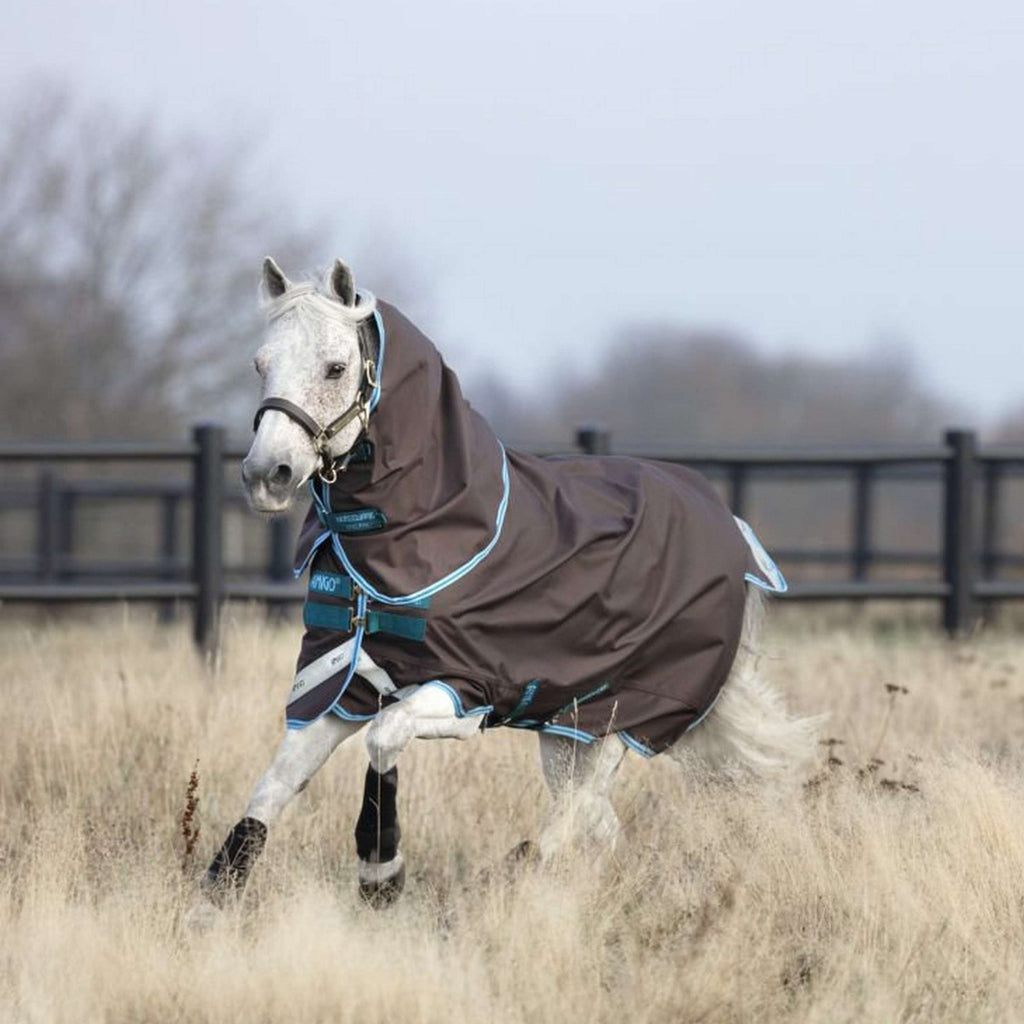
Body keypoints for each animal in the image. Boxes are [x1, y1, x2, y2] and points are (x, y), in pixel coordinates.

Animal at [202, 256, 817, 907]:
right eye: (260, 364)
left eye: (335, 368)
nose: (265, 475)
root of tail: (731, 526)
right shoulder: (338, 684)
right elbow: (273, 786)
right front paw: (218, 891)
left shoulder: (464, 693)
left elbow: (385, 736)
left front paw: (382, 872)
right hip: (568, 728)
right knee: (598, 822)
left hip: (623, 718)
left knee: (575, 815)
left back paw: (517, 869)